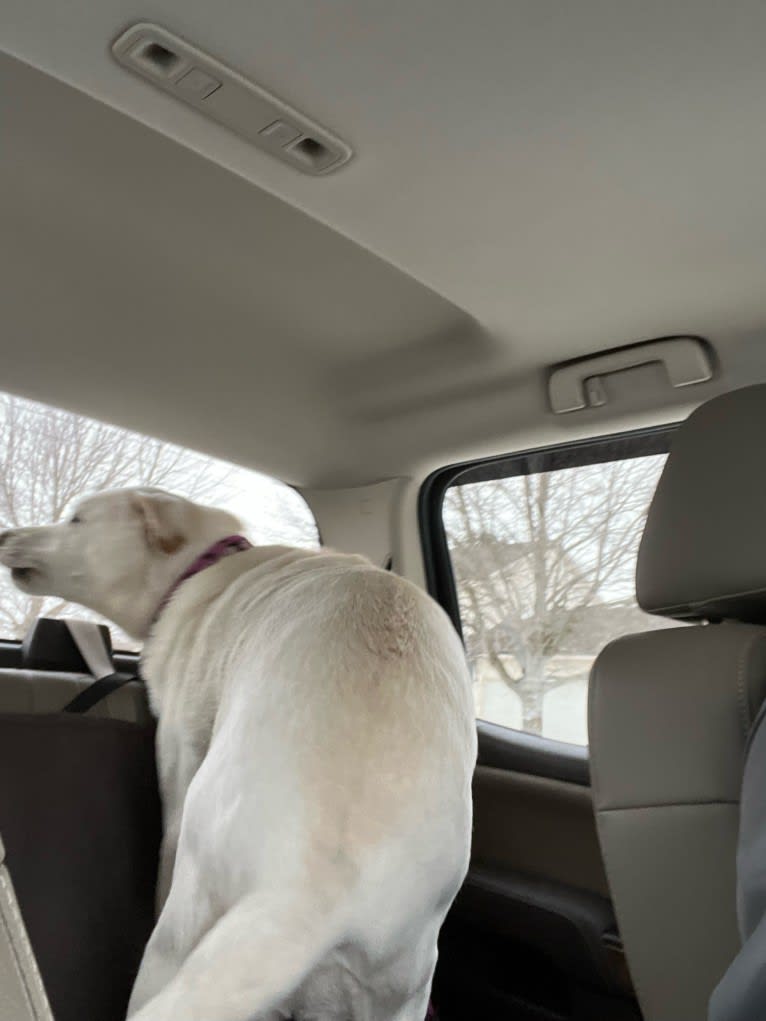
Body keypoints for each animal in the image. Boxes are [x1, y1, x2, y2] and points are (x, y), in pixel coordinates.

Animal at [0, 490, 477, 1016]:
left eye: (77, 520)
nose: (3, 535)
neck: (205, 562)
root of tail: (311, 890)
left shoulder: (178, 764)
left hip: (180, 931)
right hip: (400, 986)